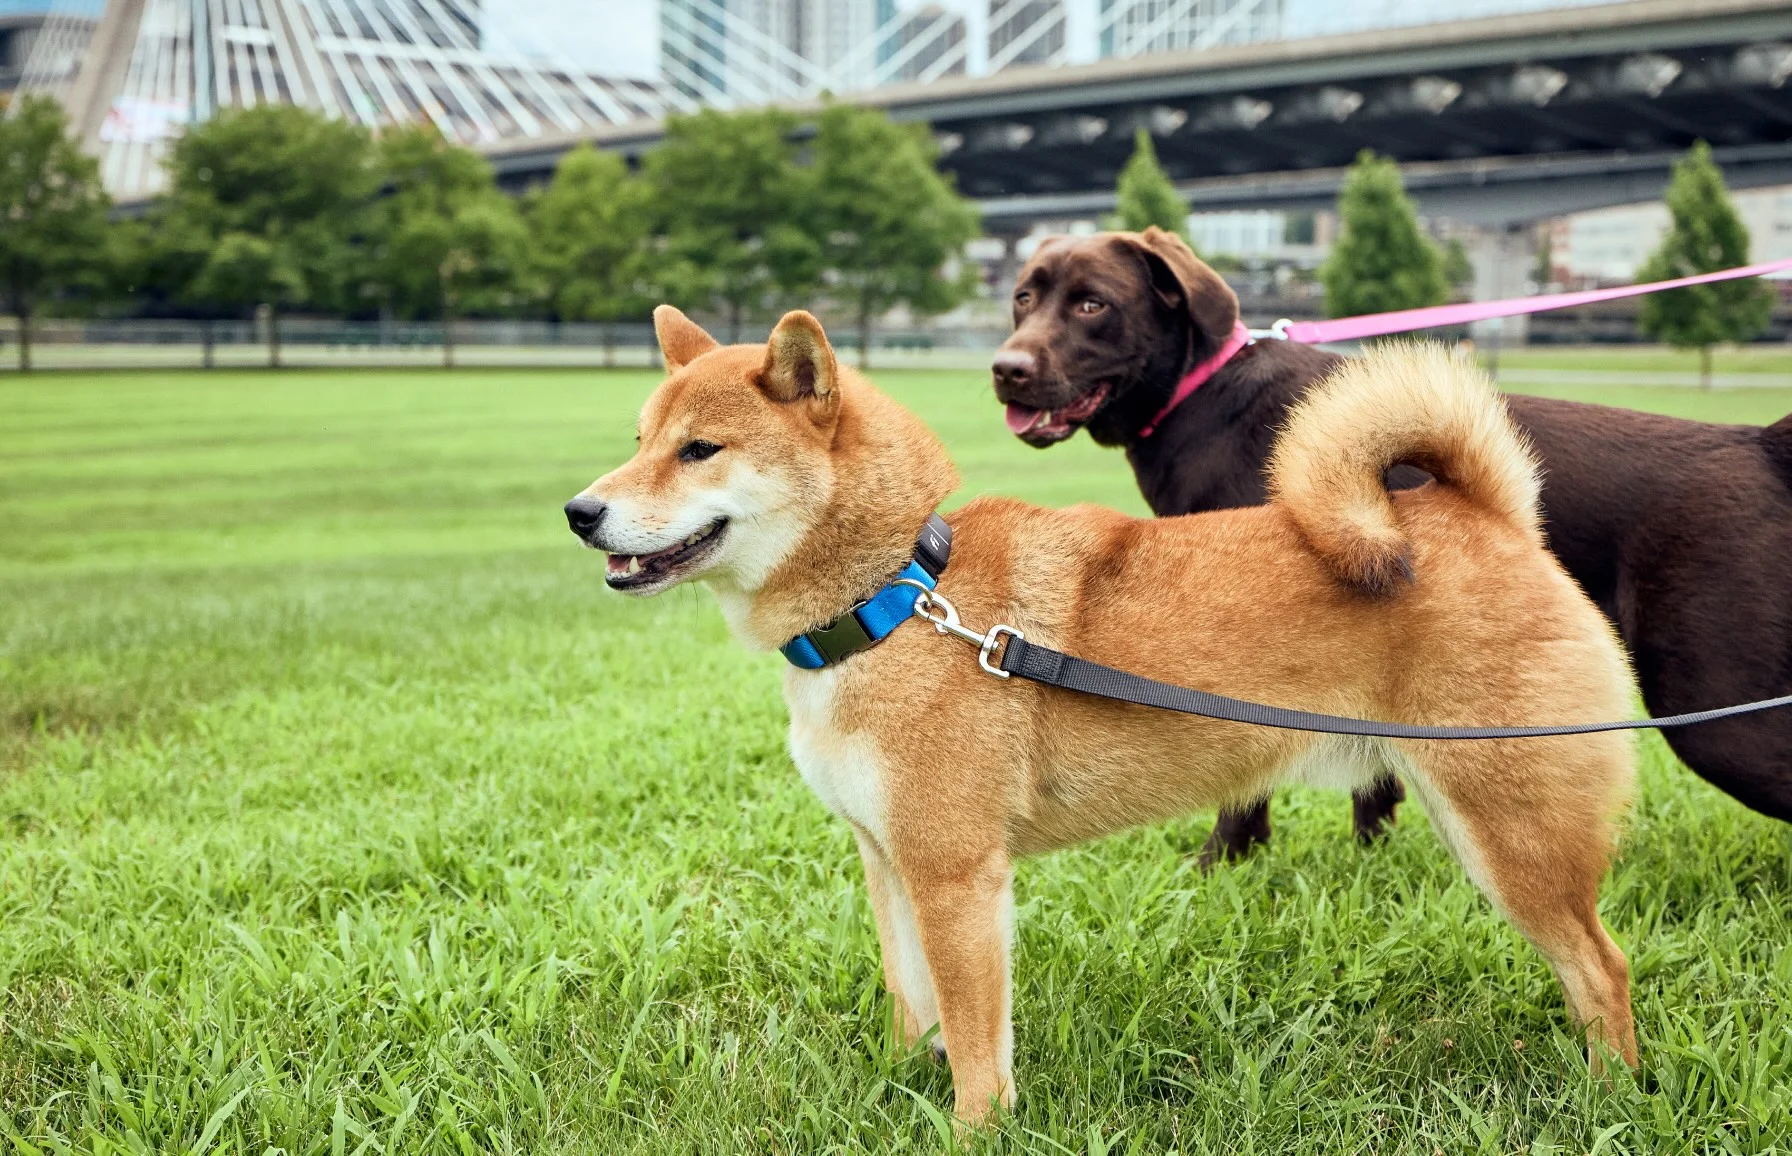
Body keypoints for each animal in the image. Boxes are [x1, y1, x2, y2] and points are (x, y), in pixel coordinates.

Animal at [562, 304, 1641, 1118]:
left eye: (700, 450)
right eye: (640, 442)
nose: (579, 511)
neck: (896, 597)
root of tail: (1485, 516)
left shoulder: (957, 874)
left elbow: (976, 1043)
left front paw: (972, 1129)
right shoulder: (889, 859)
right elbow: (915, 1007)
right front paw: (899, 1085)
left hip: (1513, 835)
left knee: (1603, 969)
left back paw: (1612, 1097)